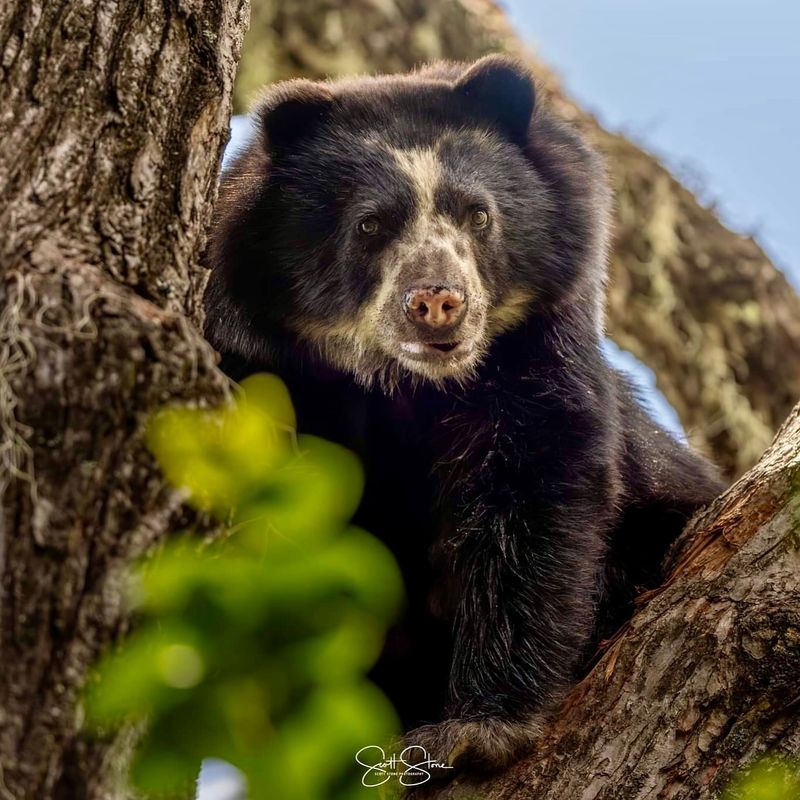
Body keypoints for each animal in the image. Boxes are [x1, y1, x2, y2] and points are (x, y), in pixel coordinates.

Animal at [205, 57, 724, 780]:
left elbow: (533, 499)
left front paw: (473, 730)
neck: (407, 386)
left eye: (478, 214)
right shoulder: (266, 359)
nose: (437, 302)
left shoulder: (534, 348)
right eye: (370, 225)